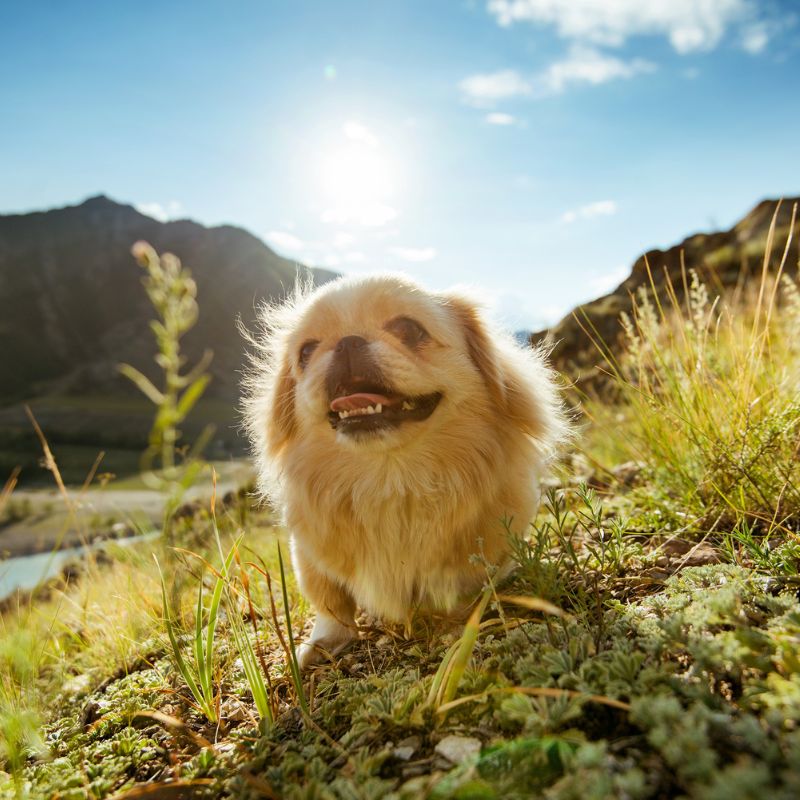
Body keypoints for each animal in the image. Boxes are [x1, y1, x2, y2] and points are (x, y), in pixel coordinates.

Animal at [244, 272, 568, 664]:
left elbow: (463, 587)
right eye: (306, 351)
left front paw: (456, 624)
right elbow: (331, 605)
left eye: (409, 329)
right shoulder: (309, 555)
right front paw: (325, 642)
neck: (392, 478)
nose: (348, 342)